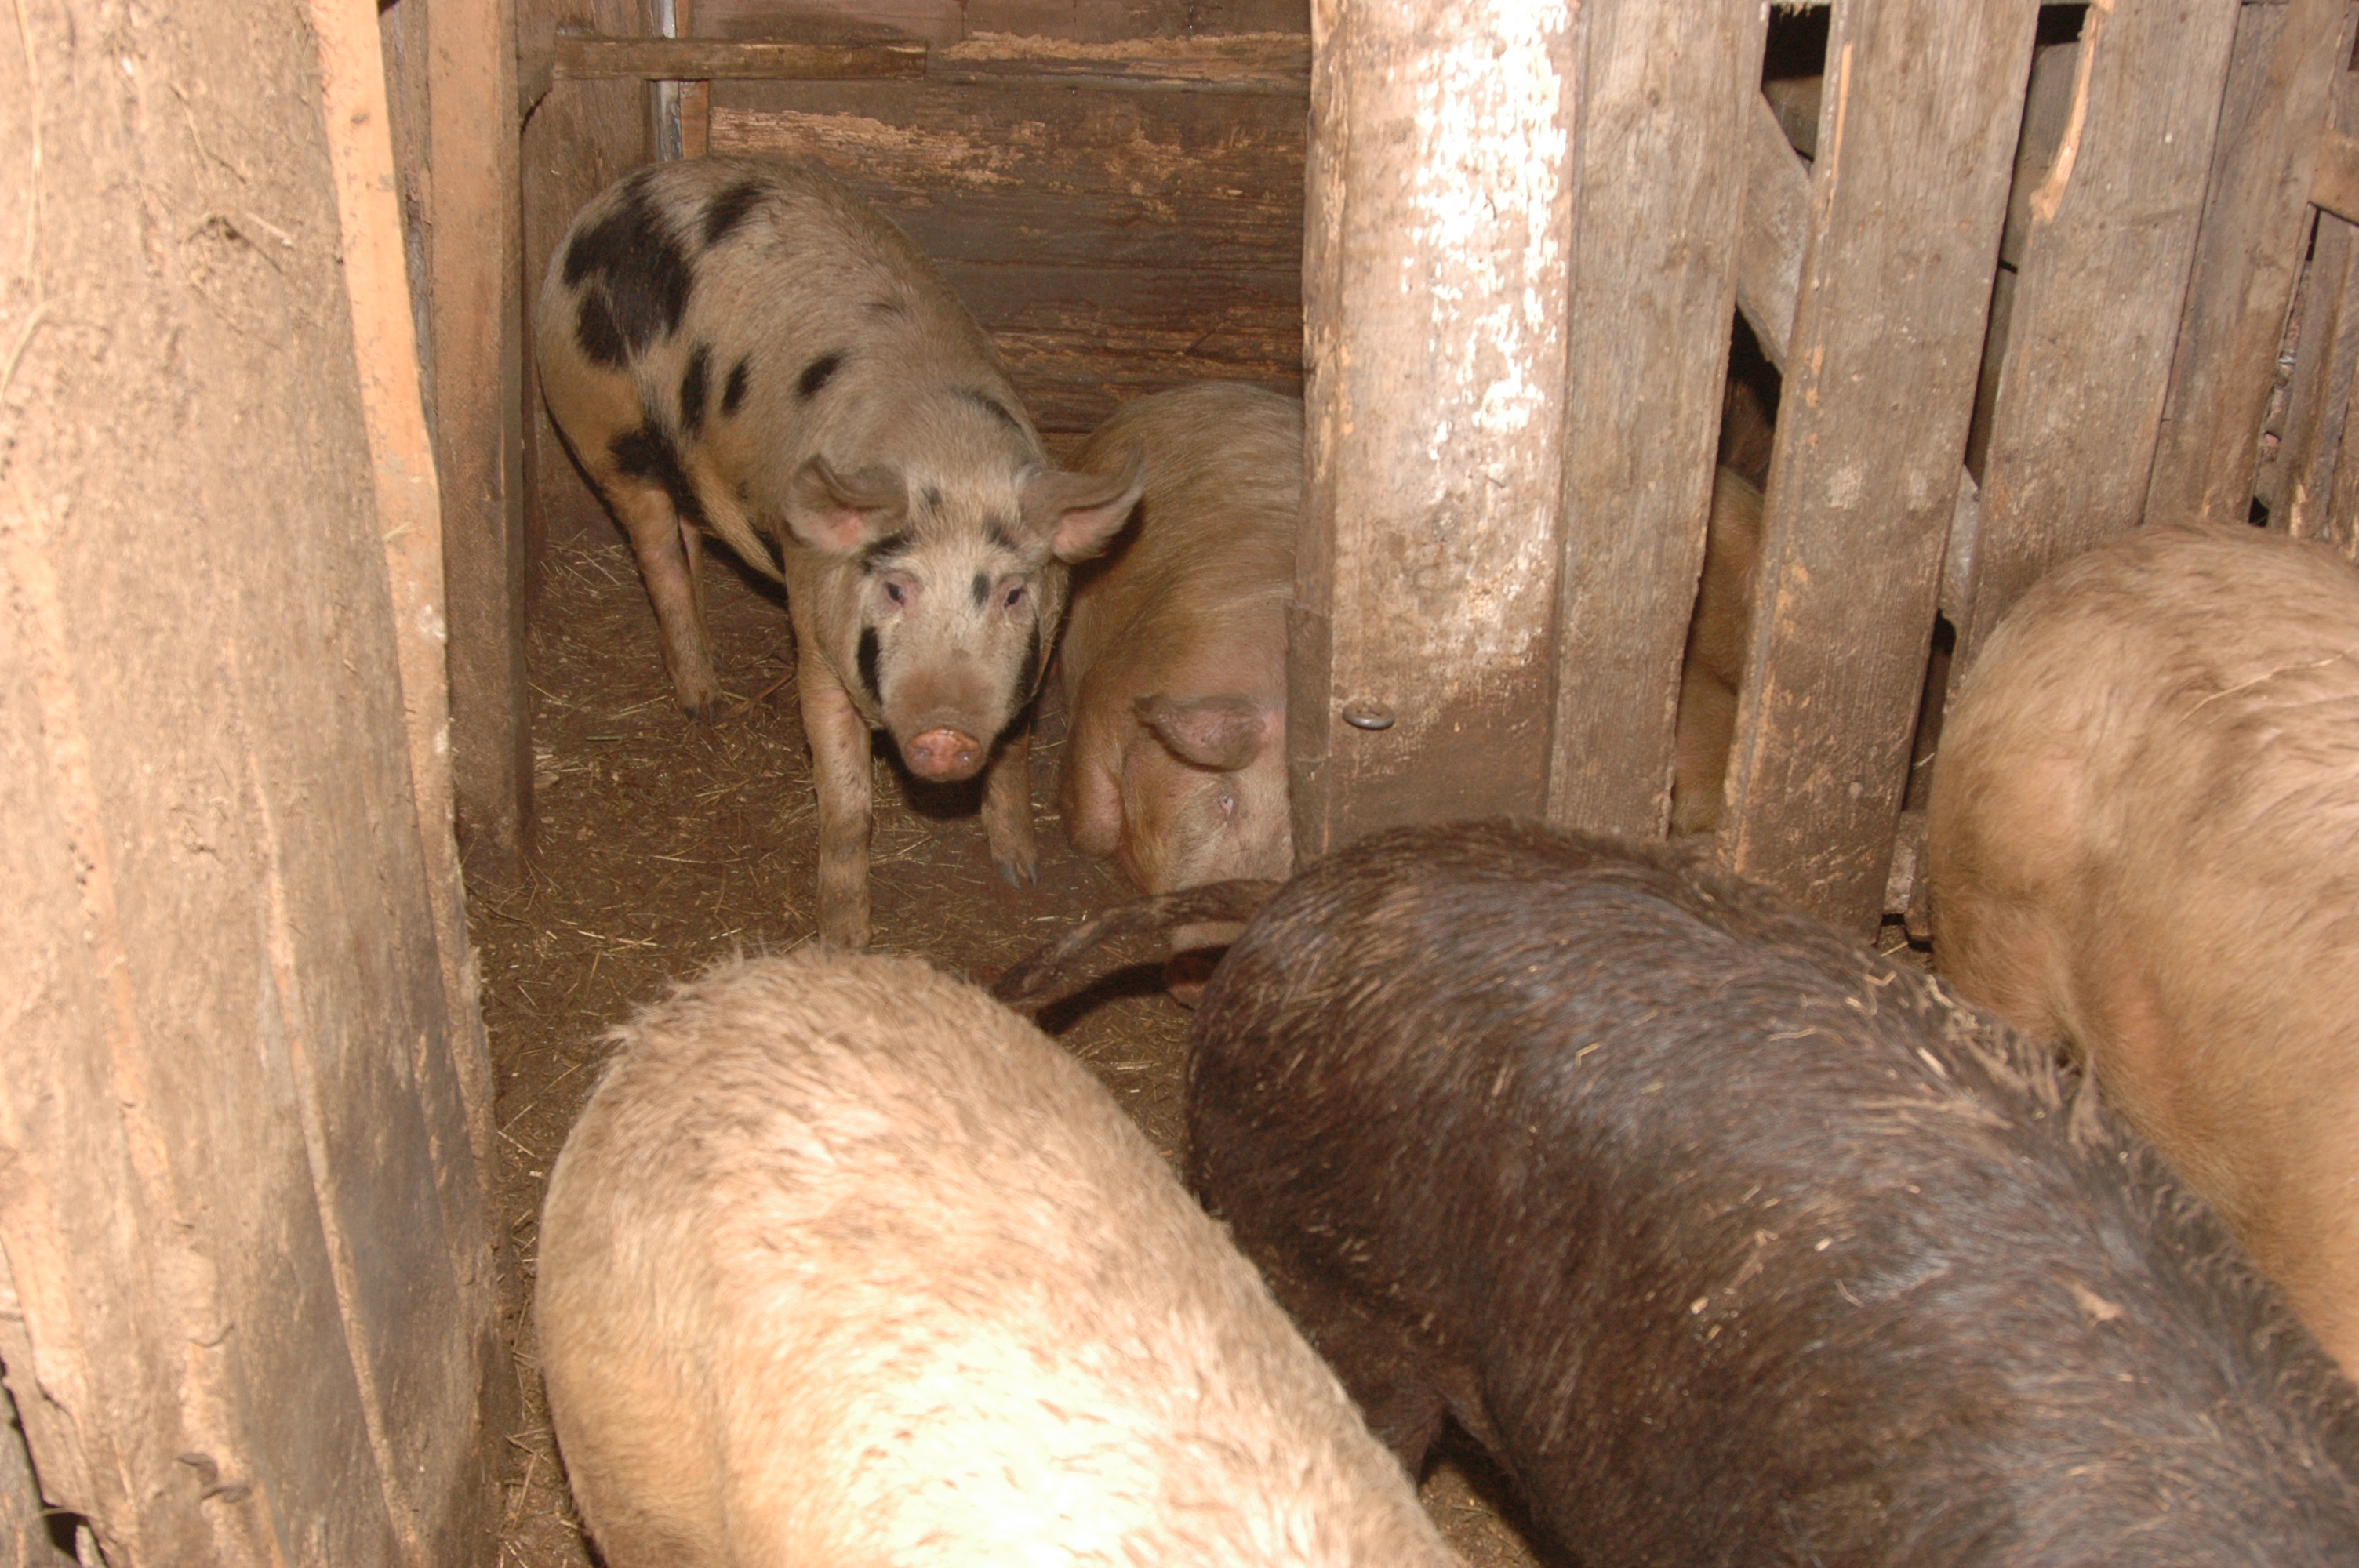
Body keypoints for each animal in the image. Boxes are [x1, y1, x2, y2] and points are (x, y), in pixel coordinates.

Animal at [544, 155, 1150, 943]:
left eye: (1014, 594)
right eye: (895, 589)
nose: (945, 731)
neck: (950, 457)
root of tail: (618, 195)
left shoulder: (1034, 661)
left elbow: (1014, 756)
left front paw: (1021, 874)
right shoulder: (816, 632)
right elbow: (848, 810)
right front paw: (844, 942)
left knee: (686, 531)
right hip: (601, 423)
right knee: (655, 549)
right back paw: (704, 705)